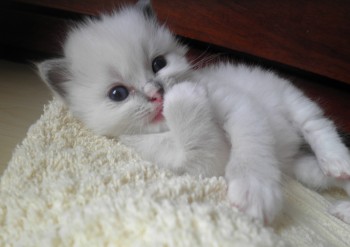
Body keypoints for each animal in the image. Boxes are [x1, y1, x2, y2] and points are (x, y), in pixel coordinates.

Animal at [37, 0, 350, 224]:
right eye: (118, 94)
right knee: (319, 173)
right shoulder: (187, 162)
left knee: (316, 125)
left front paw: (255, 193)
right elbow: (199, 147)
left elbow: (250, 150)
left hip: (290, 99)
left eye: (158, 64)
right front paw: (183, 99)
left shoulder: (240, 107)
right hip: (300, 168)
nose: (156, 91)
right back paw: (335, 192)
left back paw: (336, 163)